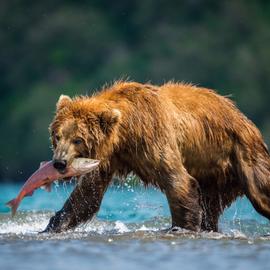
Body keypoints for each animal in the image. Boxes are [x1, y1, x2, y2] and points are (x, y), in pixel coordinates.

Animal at [43, 81, 270, 233]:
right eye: (58, 135)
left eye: (78, 139)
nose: (59, 163)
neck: (125, 133)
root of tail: (244, 120)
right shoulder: (108, 157)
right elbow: (87, 196)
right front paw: (51, 227)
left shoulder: (152, 136)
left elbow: (178, 181)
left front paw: (181, 227)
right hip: (216, 178)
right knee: (210, 207)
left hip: (242, 153)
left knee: (261, 192)